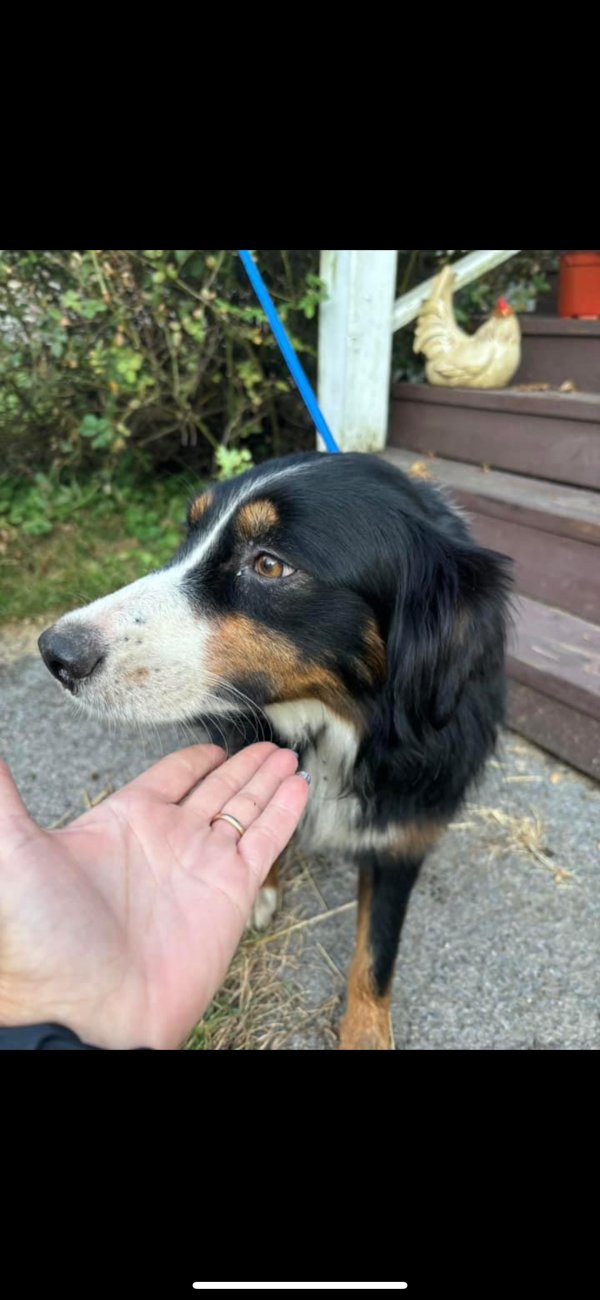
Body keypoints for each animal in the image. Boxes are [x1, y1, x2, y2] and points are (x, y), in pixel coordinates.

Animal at [37, 452, 509, 1050]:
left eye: (269, 566)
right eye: (189, 534)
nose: (55, 653)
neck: (338, 725)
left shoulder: (405, 829)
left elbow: (378, 951)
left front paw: (366, 1032)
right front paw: (259, 886)